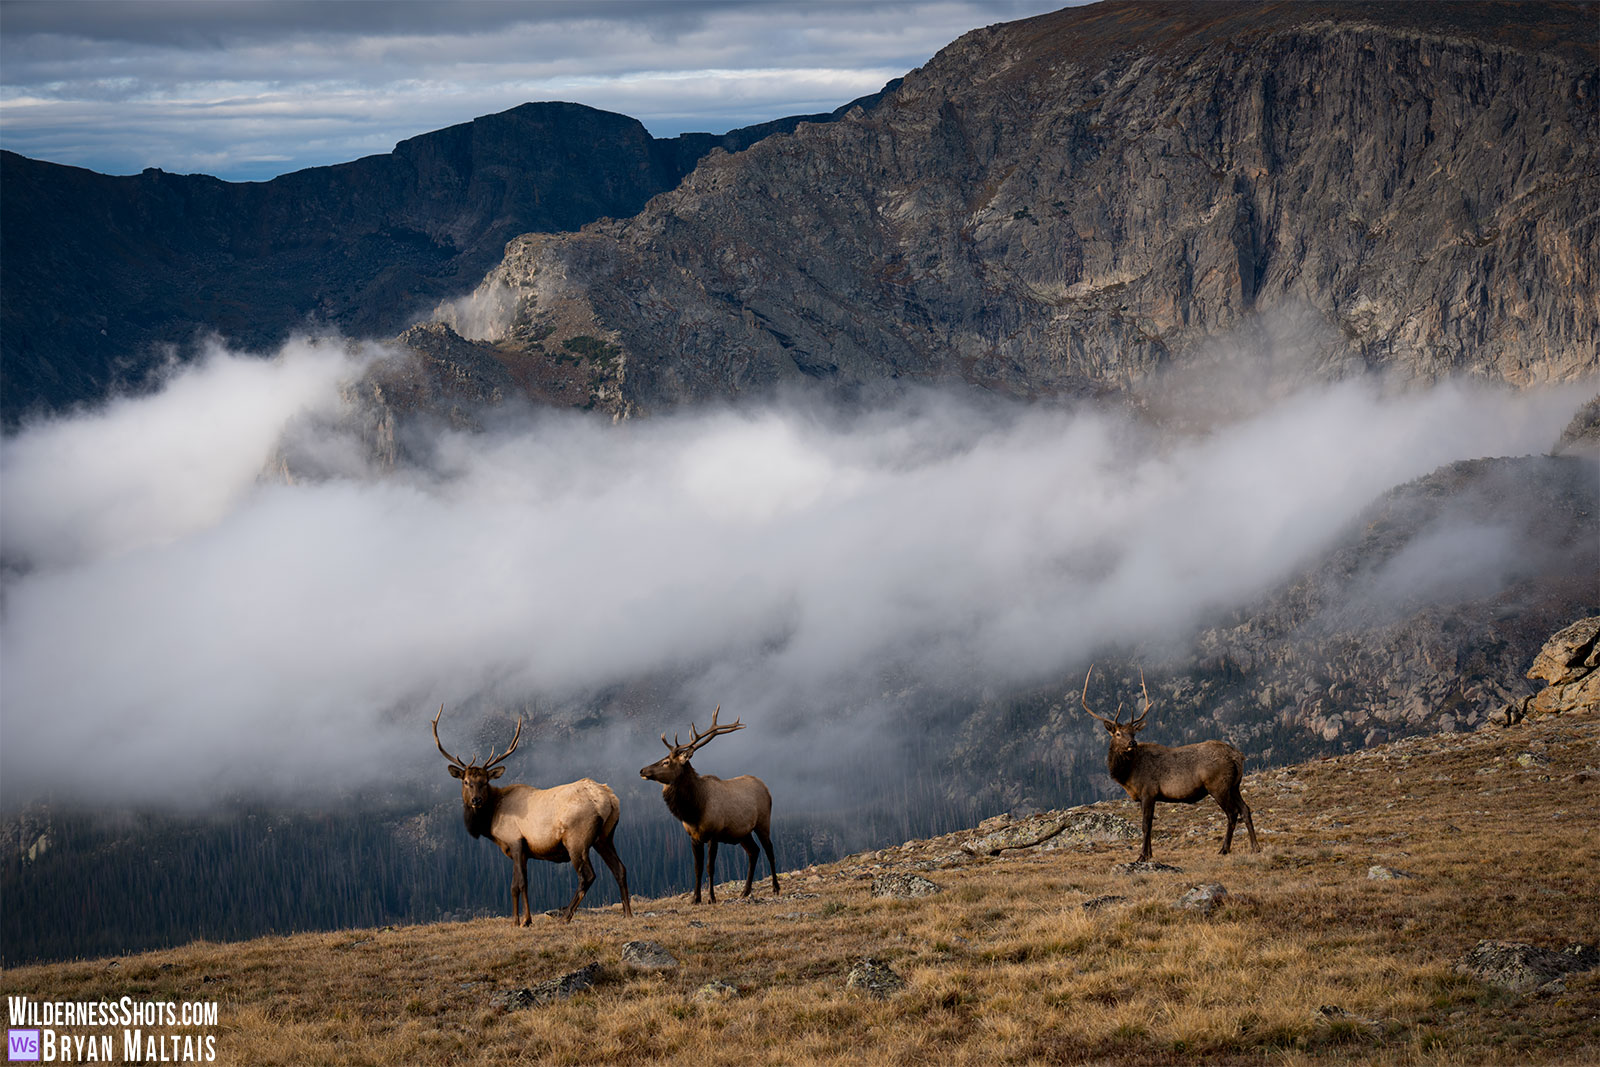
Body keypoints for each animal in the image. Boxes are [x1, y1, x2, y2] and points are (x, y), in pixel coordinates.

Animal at [432, 706, 632, 925]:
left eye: (484, 781)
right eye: (466, 782)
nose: (476, 800)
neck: (491, 819)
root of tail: (610, 798)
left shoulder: (515, 841)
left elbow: (516, 884)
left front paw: (519, 921)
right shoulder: (525, 851)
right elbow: (523, 883)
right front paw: (524, 920)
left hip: (577, 840)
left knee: (587, 876)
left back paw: (566, 916)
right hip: (605, 837)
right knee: (620, 868)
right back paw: (628, 913)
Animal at [639, 705, 779, 904]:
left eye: (666, 762)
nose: (642, 770)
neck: (694, 810)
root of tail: (766, 788)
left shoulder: (714, 833)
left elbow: (709, 867)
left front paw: (711, 898)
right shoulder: (693, 836)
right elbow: (697, 868)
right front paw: (695, 898)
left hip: (763, 822)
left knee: (769, 850)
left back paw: (776, 887)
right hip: (743, 833)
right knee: (754, 851)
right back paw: (745, 891)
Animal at [1080, 666, 1258, 862]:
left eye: (1134, 733)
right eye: (1118, 734)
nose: (1132, 743)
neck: (1127, 775)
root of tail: (1237, 756)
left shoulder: (1148, 791)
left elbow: (1145, 825)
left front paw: (1142, 856)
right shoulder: (1145, 796)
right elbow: (1150, 825)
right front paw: (1149, 854)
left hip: (1218, 785)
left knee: (1232, 813)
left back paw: (1224, 849)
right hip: (1234, 786)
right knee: (1245, 809)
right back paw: (1255, 847)